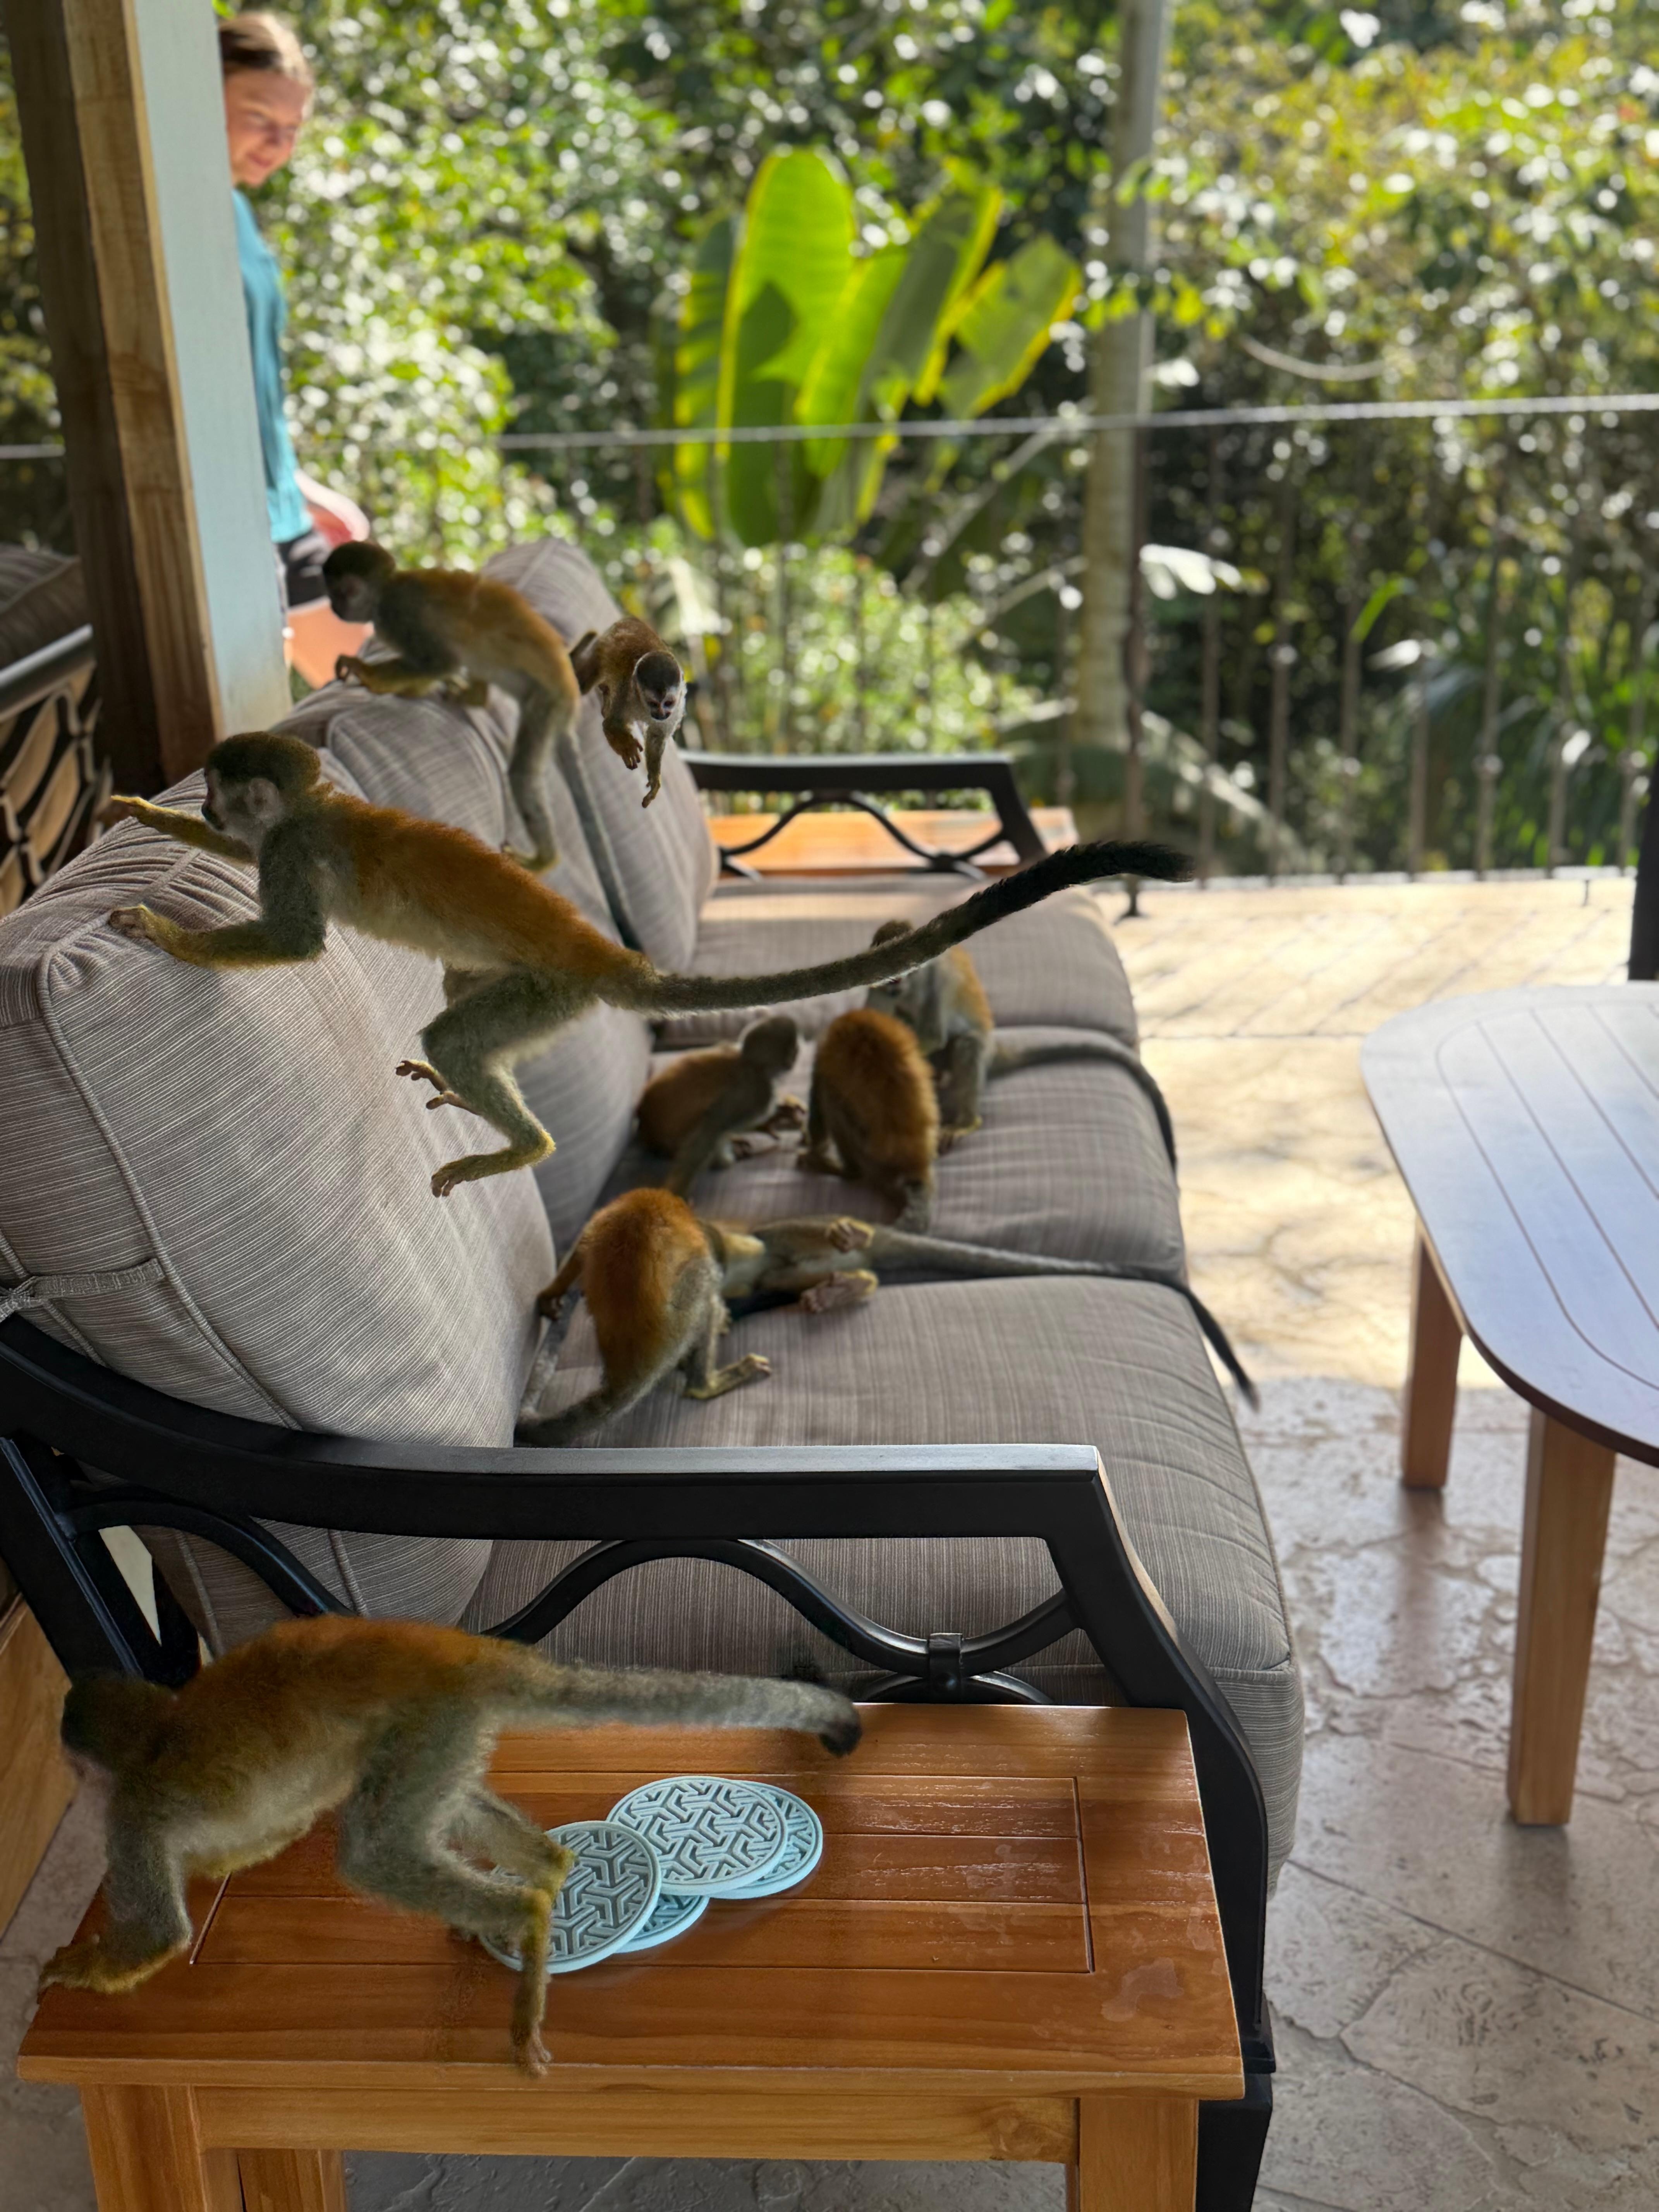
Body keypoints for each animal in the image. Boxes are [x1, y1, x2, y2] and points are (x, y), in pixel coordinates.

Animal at [37, 1613, 859, 2076]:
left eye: (78, 1770)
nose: (70, 1780)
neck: (154, 1731)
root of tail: (450, 1649)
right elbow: (269, 1833)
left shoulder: (131, 1816)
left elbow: (159, 1932)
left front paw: (72, 1966)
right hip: (448, 1725)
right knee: (437, 1805)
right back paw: (543, 1876)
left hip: (426, 1714)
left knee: (370, 1850)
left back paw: (523, 1918)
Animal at [322, 541, 580, 874]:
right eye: (331, 591)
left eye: (345, 591)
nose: (335, 606)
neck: (386, 590)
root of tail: (568, 682)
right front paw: (410, 687)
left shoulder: (396, 615)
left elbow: (442, 661)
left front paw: (366, 673)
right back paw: (475, 697)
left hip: (548, 700)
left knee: (522, 773)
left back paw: (545, 860)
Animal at [568, 615, 688, 808]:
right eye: (653, 703)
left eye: (668, 703)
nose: (661, 715)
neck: (643, 706)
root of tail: (632, 620)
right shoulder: (626, 694)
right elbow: (610, 725)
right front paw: (628, 748)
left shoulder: (677, 709)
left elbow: (657, 737)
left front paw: (655, 779)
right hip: (603, 647)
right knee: (586, 684)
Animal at [800, 1008, 942, 1231]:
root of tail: (915, 1163)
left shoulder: (822, 1052)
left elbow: (818, 1113)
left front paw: (812, 1147)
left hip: (870, 1158)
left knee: (829, 1096)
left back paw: (846, 1171)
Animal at [864, 926, 1177, 1163]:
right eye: (888, 979)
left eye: (899, 977)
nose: (892, 987)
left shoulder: (936, 981)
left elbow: (934, 1034)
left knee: (968, 1044)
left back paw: (966, 1120)